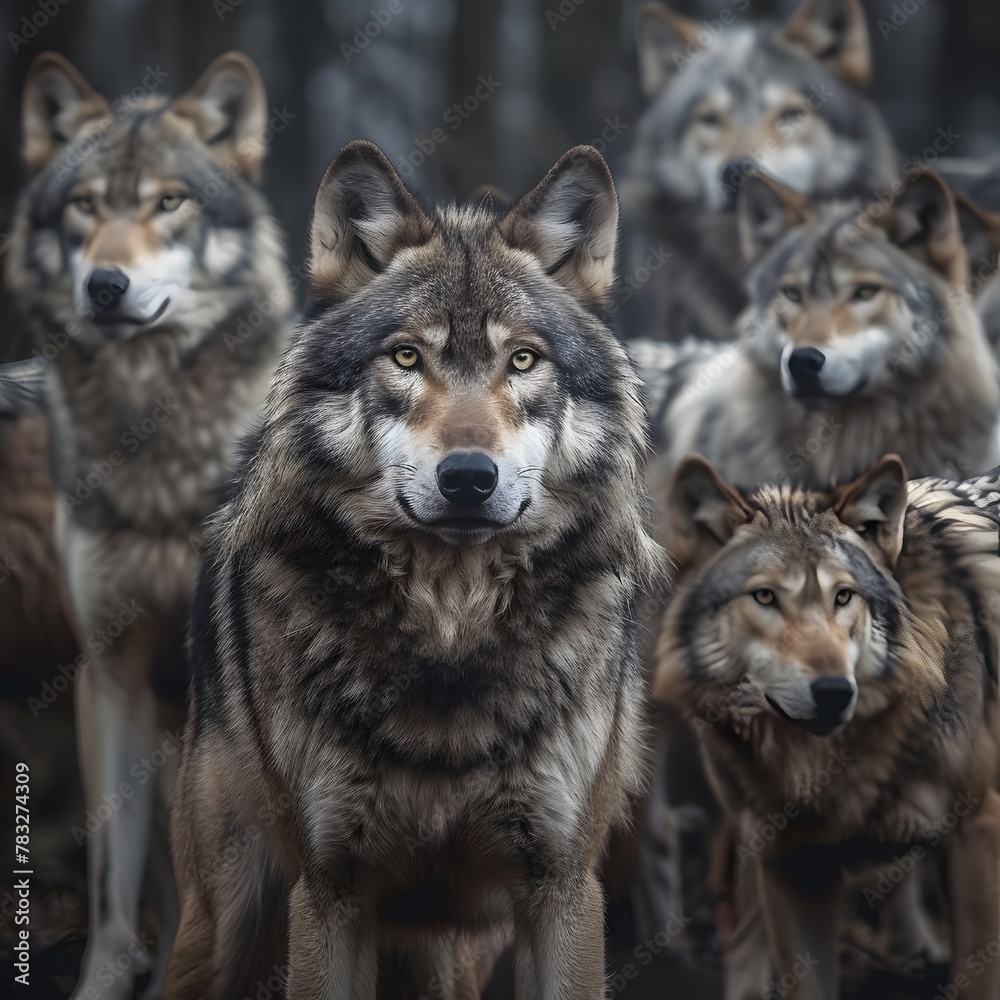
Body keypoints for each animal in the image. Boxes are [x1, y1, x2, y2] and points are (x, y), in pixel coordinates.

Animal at [163, 140, 659, 1000]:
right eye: (406, 356)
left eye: (522, 359)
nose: (468, 477)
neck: (450, 629)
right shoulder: (330, 891)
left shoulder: (563, 890)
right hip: (226, 926)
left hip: (448, 948)